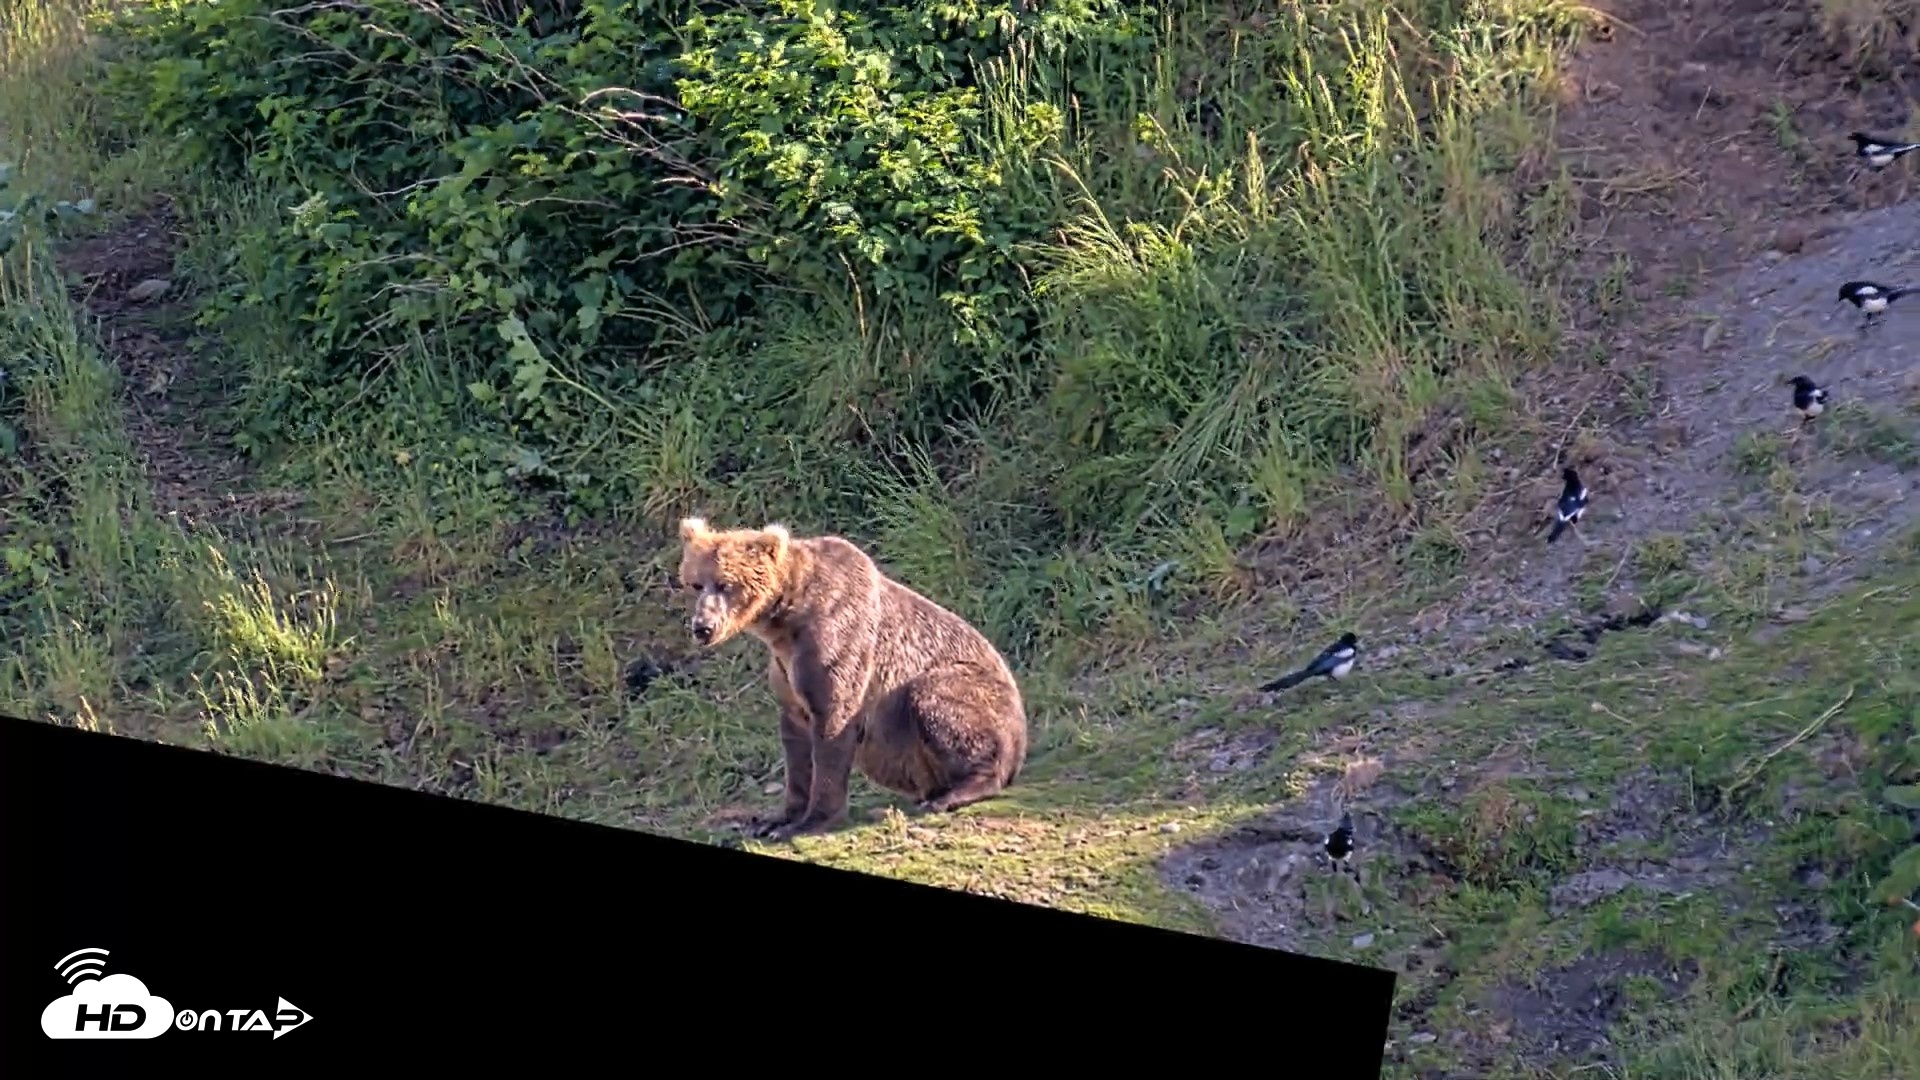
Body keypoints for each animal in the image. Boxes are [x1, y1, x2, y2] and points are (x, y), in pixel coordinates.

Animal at [674, 516, 1029, 841]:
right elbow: (795, 745)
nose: (702, 627)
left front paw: (809, 821)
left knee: (939, 699)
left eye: (726, 584)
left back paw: (952, 794)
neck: (785, 621)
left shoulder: (839, 641)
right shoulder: (786, 673)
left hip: (973, 691)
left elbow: (833, 726)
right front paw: (775, 820)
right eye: (695, 583)